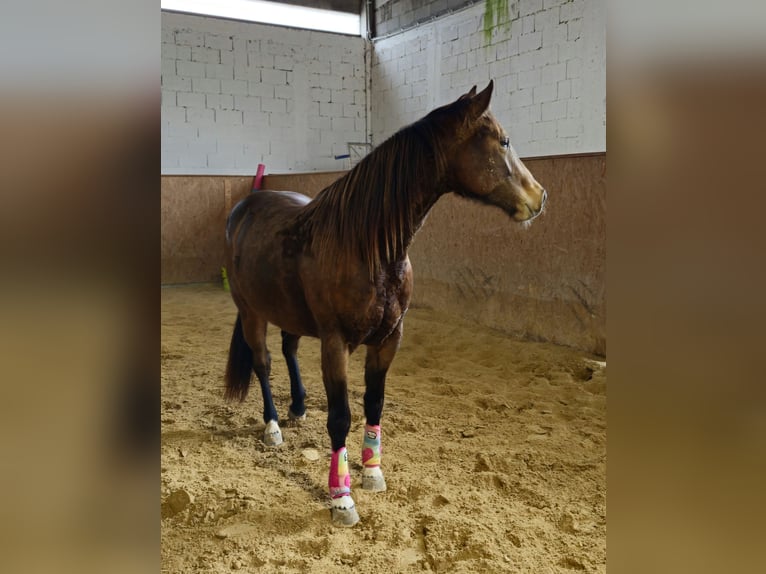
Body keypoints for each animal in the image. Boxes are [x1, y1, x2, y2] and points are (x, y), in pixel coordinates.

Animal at [222, 80, 544, 528]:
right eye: (504, 141)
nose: (539, 196)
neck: (367, 247)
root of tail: (243, 208)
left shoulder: (390, 337)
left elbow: (374, 403)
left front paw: (372, 471)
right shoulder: (335, 343)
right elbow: (340, 416)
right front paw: (342, 497)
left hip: (289, 313)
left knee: (288, 351)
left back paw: (298, 407)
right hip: (252, 312)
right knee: (263, 362)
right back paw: (272, 427)